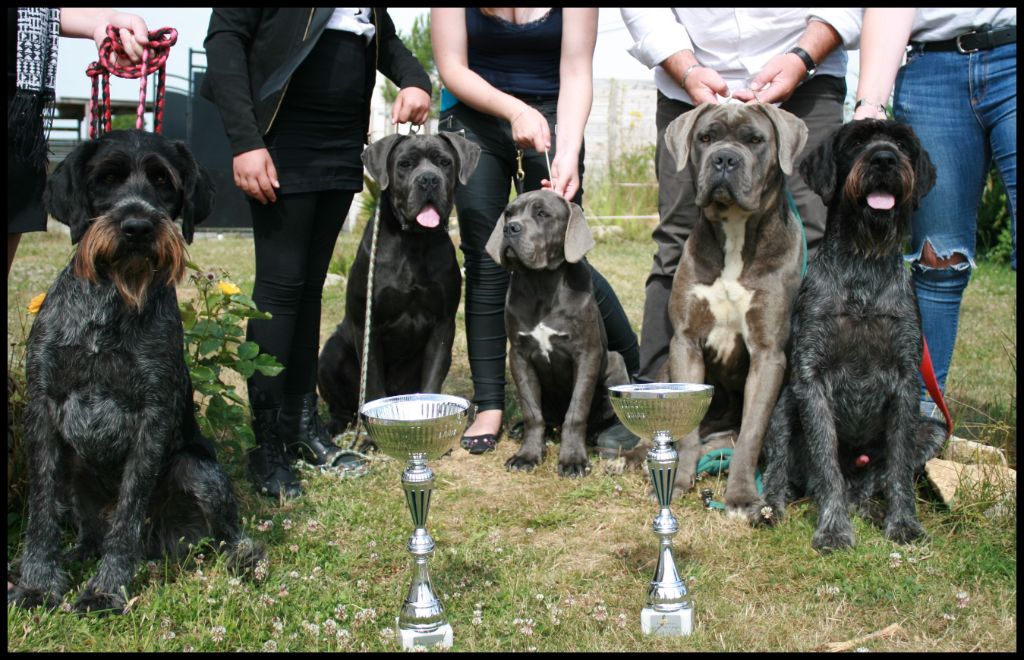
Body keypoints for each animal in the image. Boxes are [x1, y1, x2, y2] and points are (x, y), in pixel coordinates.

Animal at [8, 128, 262, 613]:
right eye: (107, 178)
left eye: (163, 181)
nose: (138, 228)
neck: (110, 302)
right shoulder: (42, 408)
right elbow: (41, 511)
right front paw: (37, 583)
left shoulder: (153, 415)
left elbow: (127, 512)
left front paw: (107, 588)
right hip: (75, 473)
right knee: (89, 532)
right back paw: (76, 552)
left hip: (197, 471)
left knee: (229, 535)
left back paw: (243, 558)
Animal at [317, 134, 481, 431]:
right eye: (405, 164)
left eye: (444, 162)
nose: (429, 180)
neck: (414, 241)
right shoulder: (368, 326)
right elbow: (372, 386)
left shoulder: (442, 326)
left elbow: (432, 382)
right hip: (330, 354)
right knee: (342, 405)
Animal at [481, 188, 630, 476]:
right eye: (509, 213)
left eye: (542, 214)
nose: (510, 228)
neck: (541, 284)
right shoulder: (519, 356)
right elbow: (532, 411)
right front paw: (527, 455)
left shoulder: (586, 355)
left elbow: (577, 411)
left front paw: (573, 460)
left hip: (615, 361)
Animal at [757, 119, 946, 552]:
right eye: (857, 142)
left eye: (903, 145)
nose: (884, 159)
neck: (863, 270)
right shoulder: (811, 378)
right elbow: (826, 463)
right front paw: (832, 529)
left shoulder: (906, 379)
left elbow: (898, 468)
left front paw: (904, 524)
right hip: (783, 405)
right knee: (783, 472)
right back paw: (770, 507)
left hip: (933, 431)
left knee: (869, 485)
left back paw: (869, 508)